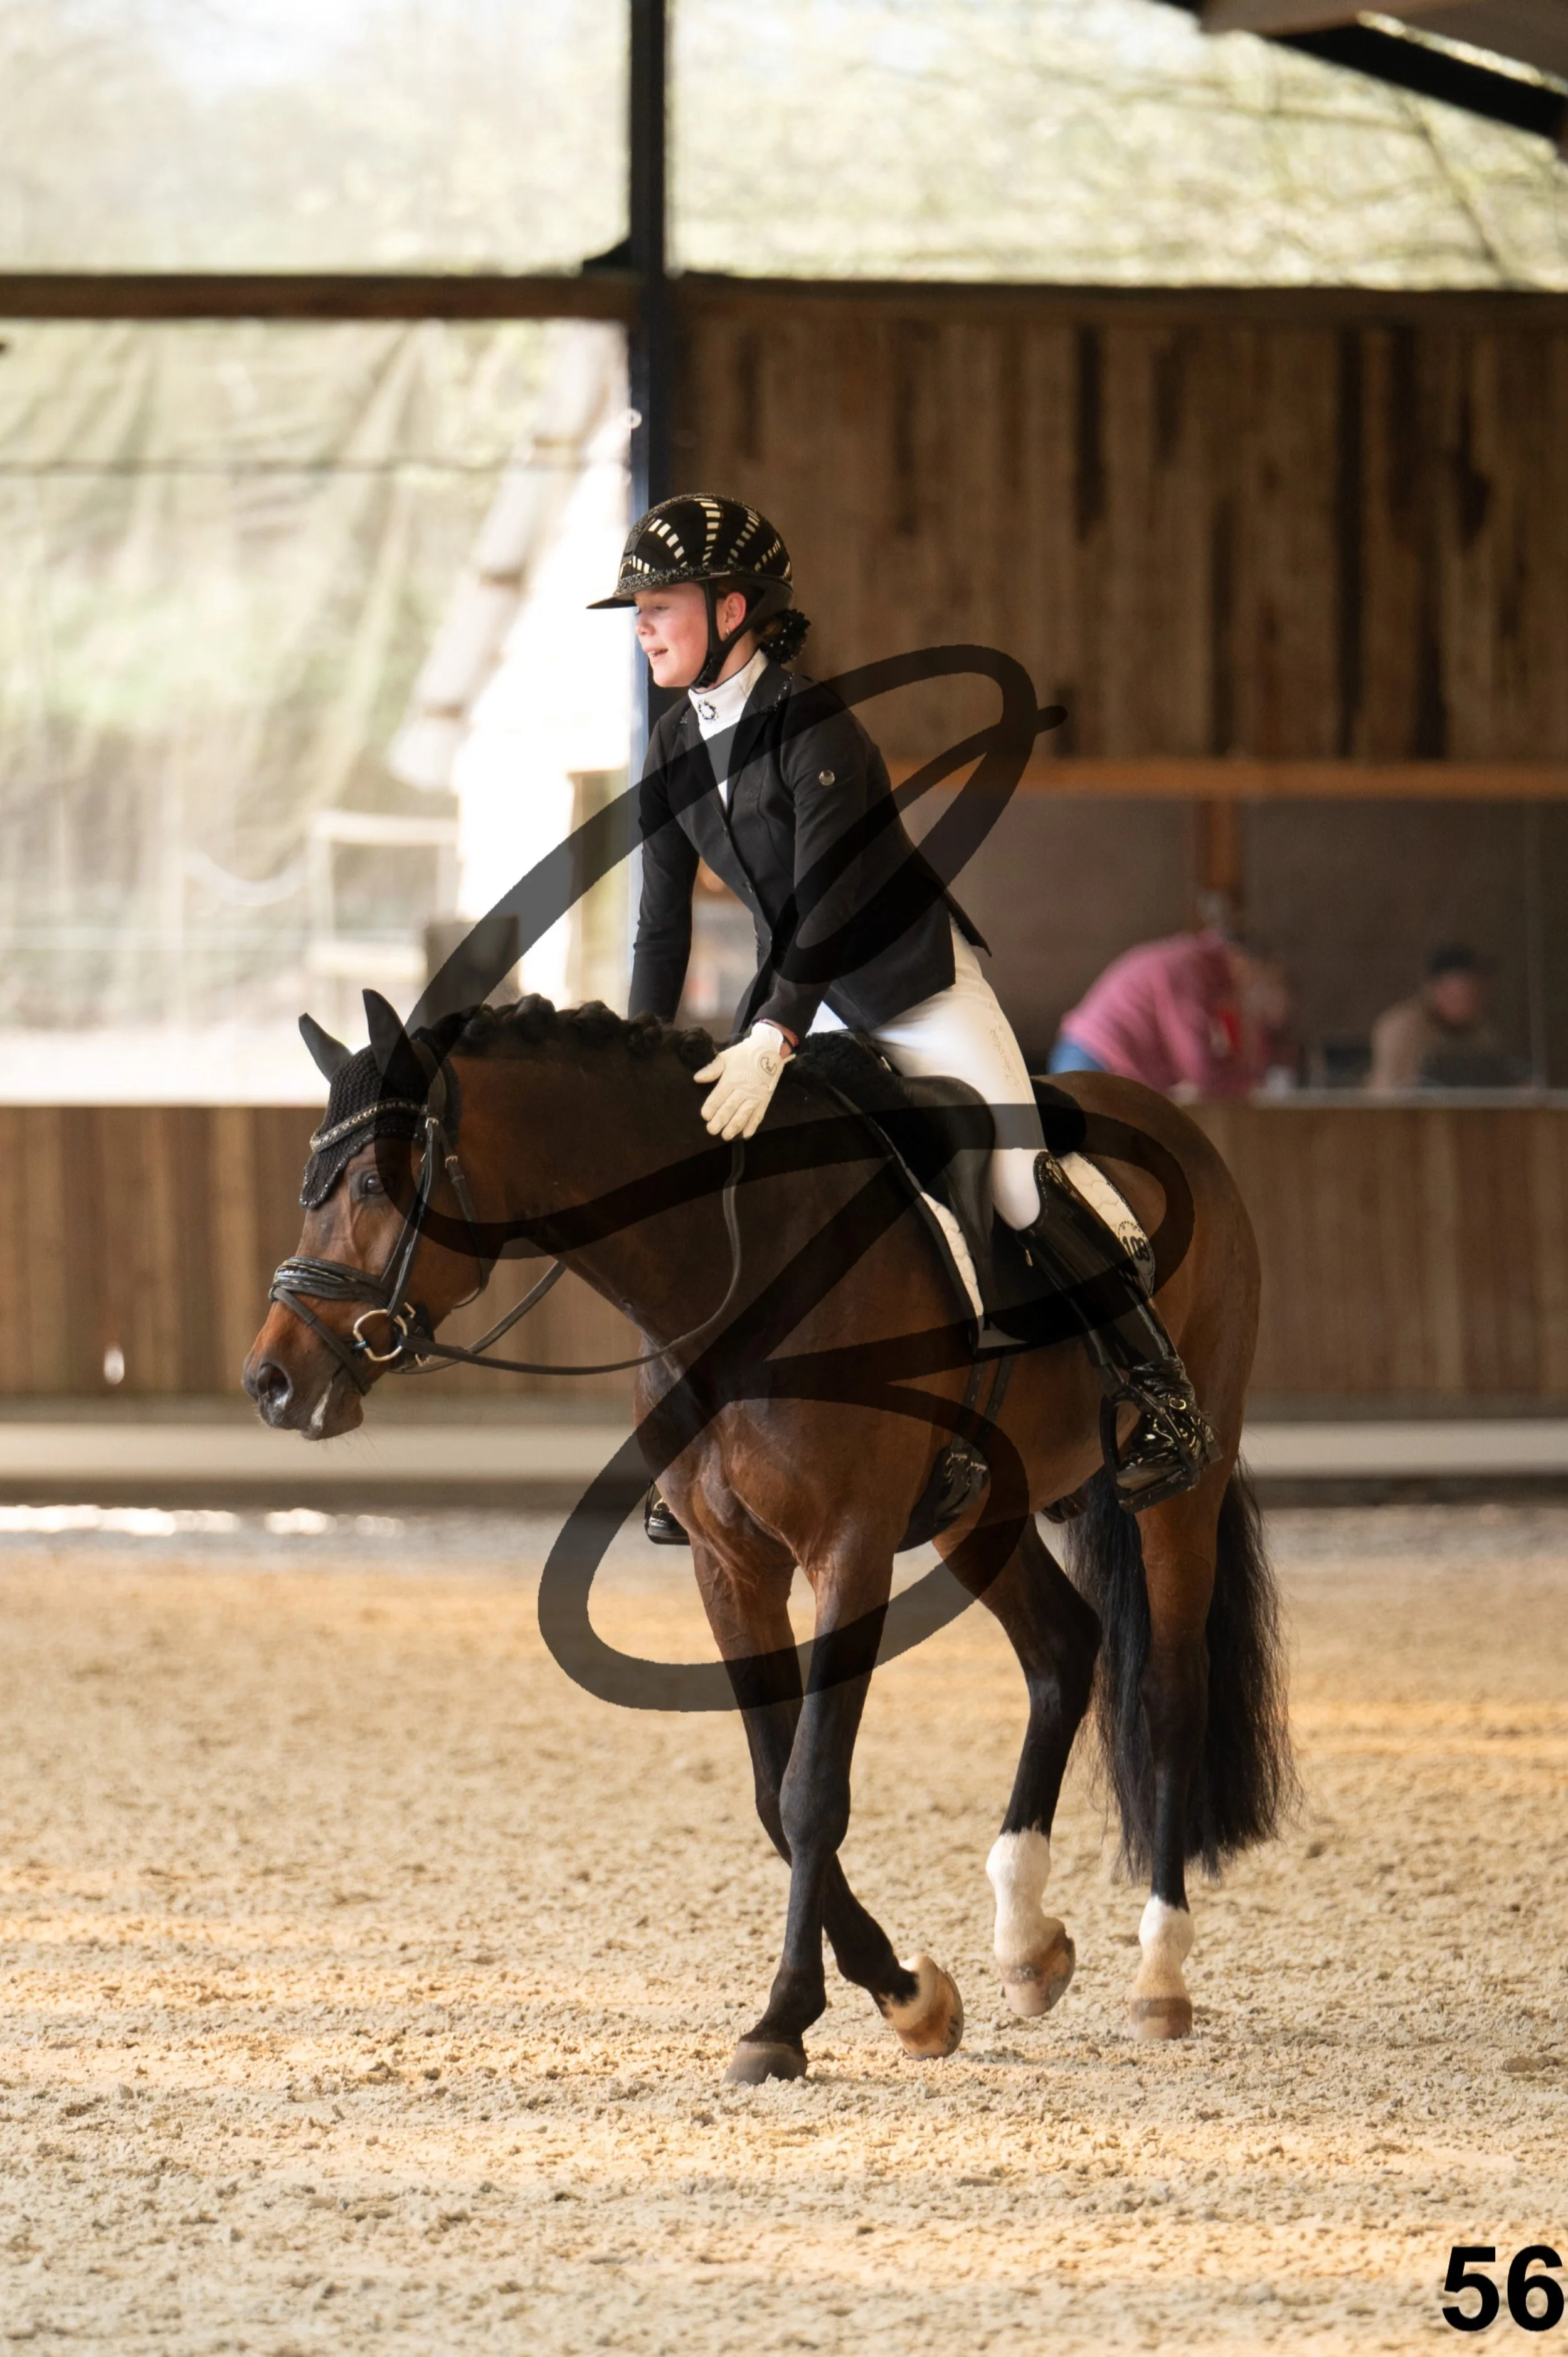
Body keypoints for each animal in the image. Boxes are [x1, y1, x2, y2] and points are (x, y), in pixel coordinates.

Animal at [244, 991, 1291, 2087]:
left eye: (371, 1182)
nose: (271, 1381)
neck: (731, 1275)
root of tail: (1170, 1120)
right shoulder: (729, 1563)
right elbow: (767, 1786)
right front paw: (907, 1994)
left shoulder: (849, 1548)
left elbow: (811, 1789)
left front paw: (788, 2016)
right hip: (981, 1510)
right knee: (1061, 1649)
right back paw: (1026, 1939)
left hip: (1181, 1486)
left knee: (1168, 1690)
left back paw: (1160, 1973)